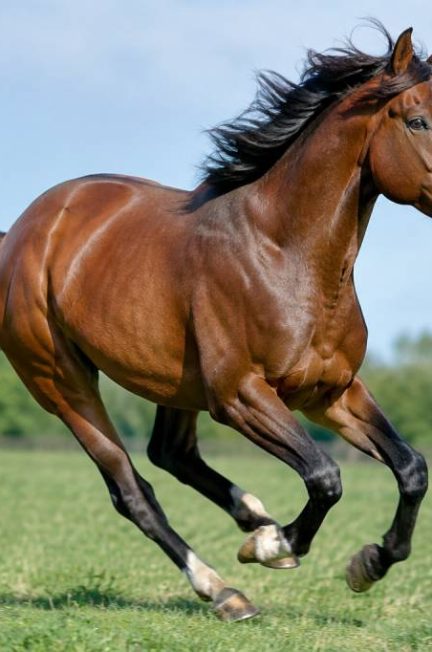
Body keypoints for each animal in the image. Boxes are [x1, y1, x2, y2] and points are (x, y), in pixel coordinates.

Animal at [0, 24, 430, 622]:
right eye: (417, 121)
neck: (285, 254)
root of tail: (20, 233)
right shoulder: (240, 395)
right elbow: (326, 476)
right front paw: (273, 547)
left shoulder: (332, 391)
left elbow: (411, 469)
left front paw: (366, 564)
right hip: (60, 382)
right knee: (133, 490)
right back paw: (224, 589)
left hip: (174, 383)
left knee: (171, 454)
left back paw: (254, 518)